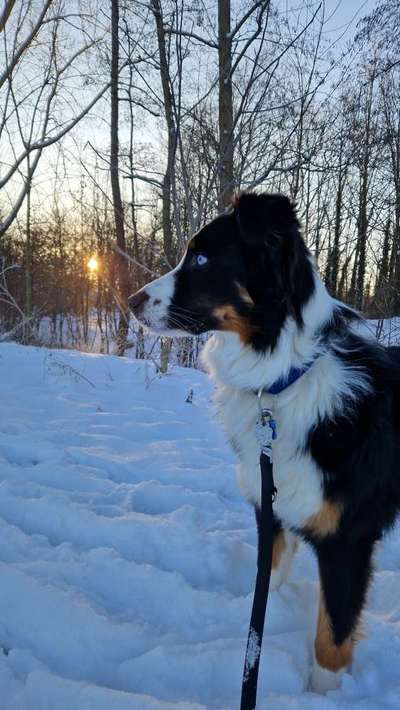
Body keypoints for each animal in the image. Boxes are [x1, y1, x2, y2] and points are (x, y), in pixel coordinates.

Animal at [128, 195, 400, 696]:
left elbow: (332, 637)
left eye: (201, 259)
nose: (131, 300)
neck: (283, 382)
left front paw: (322, 697)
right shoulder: (269, 503)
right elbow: (265, 579)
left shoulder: (347, 540)